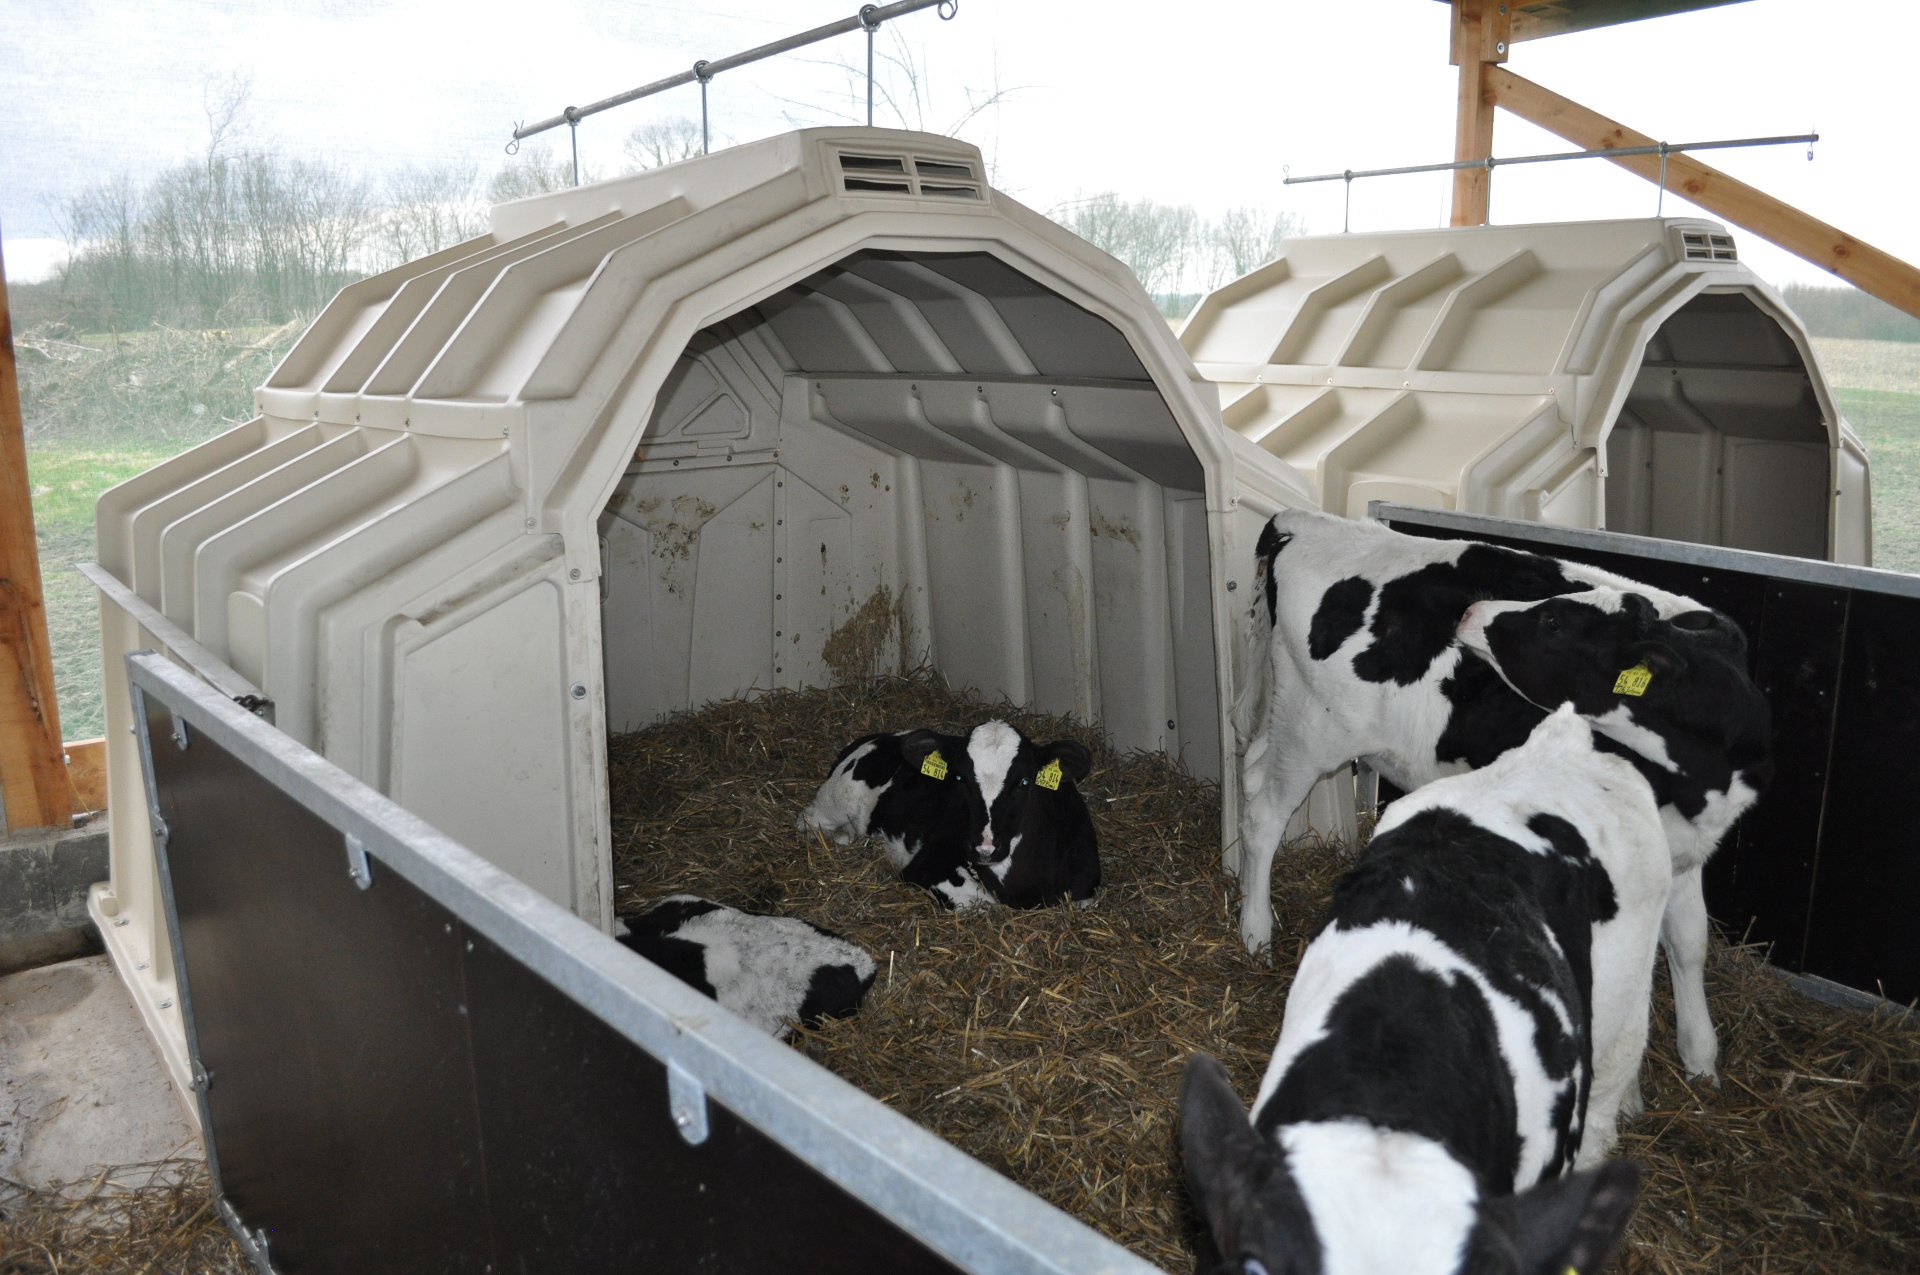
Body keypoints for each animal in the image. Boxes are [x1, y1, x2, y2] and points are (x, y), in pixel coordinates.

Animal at [794, 721, 1098, 910]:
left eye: (1024, 781)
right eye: (960, 778)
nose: (985, 848)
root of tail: (878, 737)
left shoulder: (1085, 891)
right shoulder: (925, 863)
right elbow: (982, 903)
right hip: (834, 802)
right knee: (807, 820)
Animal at [1228, 506, 1766, 1075]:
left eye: (1554, 623)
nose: (1474, 615)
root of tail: (1313, 520)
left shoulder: (1684, 845)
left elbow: (1690, 941)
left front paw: (1701, 1058)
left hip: (1293, 720)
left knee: (1253, 768)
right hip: (1313, 731)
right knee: (1264, 814)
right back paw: (1256, 933)